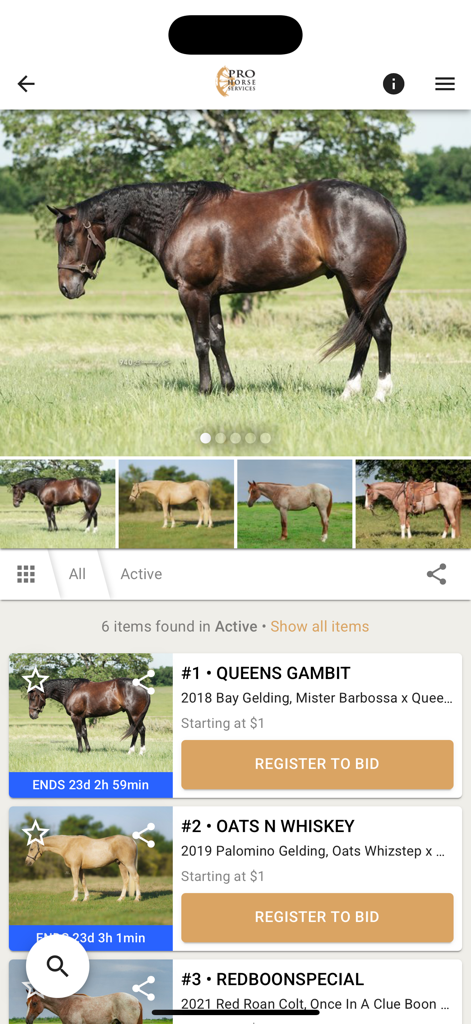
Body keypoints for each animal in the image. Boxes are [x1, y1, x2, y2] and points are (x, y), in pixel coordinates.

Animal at [48, 178, 406, 402]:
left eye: (69, 239)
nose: (66, 287)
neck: (179, 217)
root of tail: (383, 203)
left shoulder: (193, 292)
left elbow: (201, 343)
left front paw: (204, 391)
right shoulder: (213, 295)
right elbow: (219, 340)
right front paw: (229, 388)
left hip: (363, 287)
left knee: (381, 329)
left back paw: (380, 394)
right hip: (351, 288)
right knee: (363, 335)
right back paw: (348, 392)